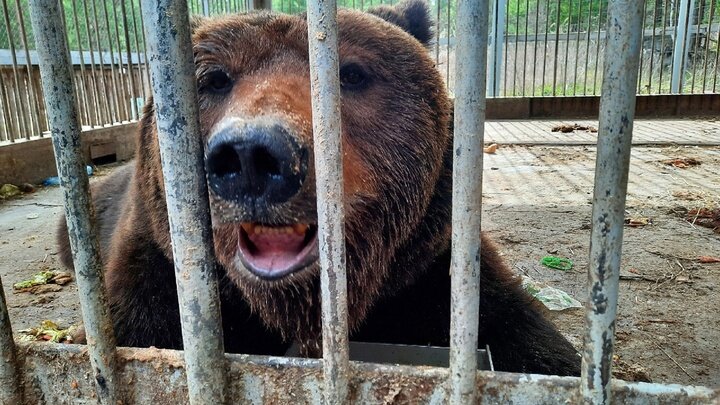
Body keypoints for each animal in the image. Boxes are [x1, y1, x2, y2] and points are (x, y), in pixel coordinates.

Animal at [58, 1, 580, 376]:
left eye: (352, 73)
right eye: (215, 79)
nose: (249, 155)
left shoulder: (437, 271)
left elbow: (533, 346)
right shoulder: (157, 275)